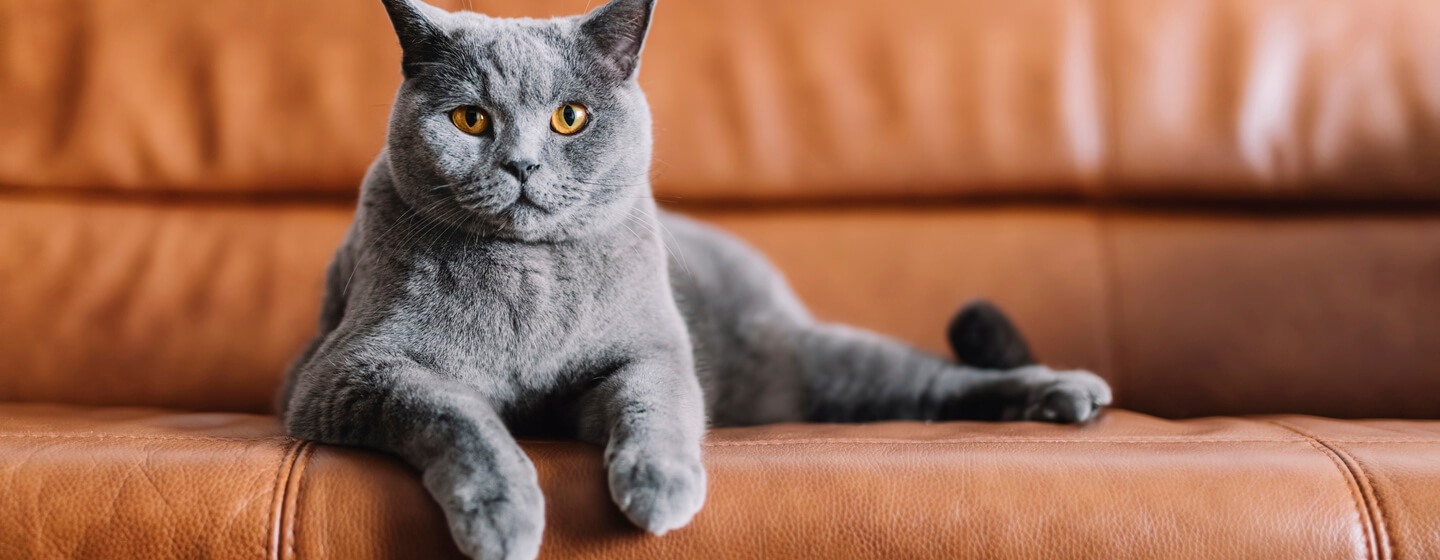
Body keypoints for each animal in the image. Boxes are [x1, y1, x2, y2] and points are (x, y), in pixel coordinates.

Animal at [277, 1, 1111, 558]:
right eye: (471, 120)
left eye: (570, 118)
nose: (522, 165)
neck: (531, 275)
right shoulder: (351, 369)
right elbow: (457, 414)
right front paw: (502, 516)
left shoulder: (647, 349)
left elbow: (656, 399)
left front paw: (661, 486)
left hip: (820, 360)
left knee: (935, 378)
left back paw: (1067, 393)